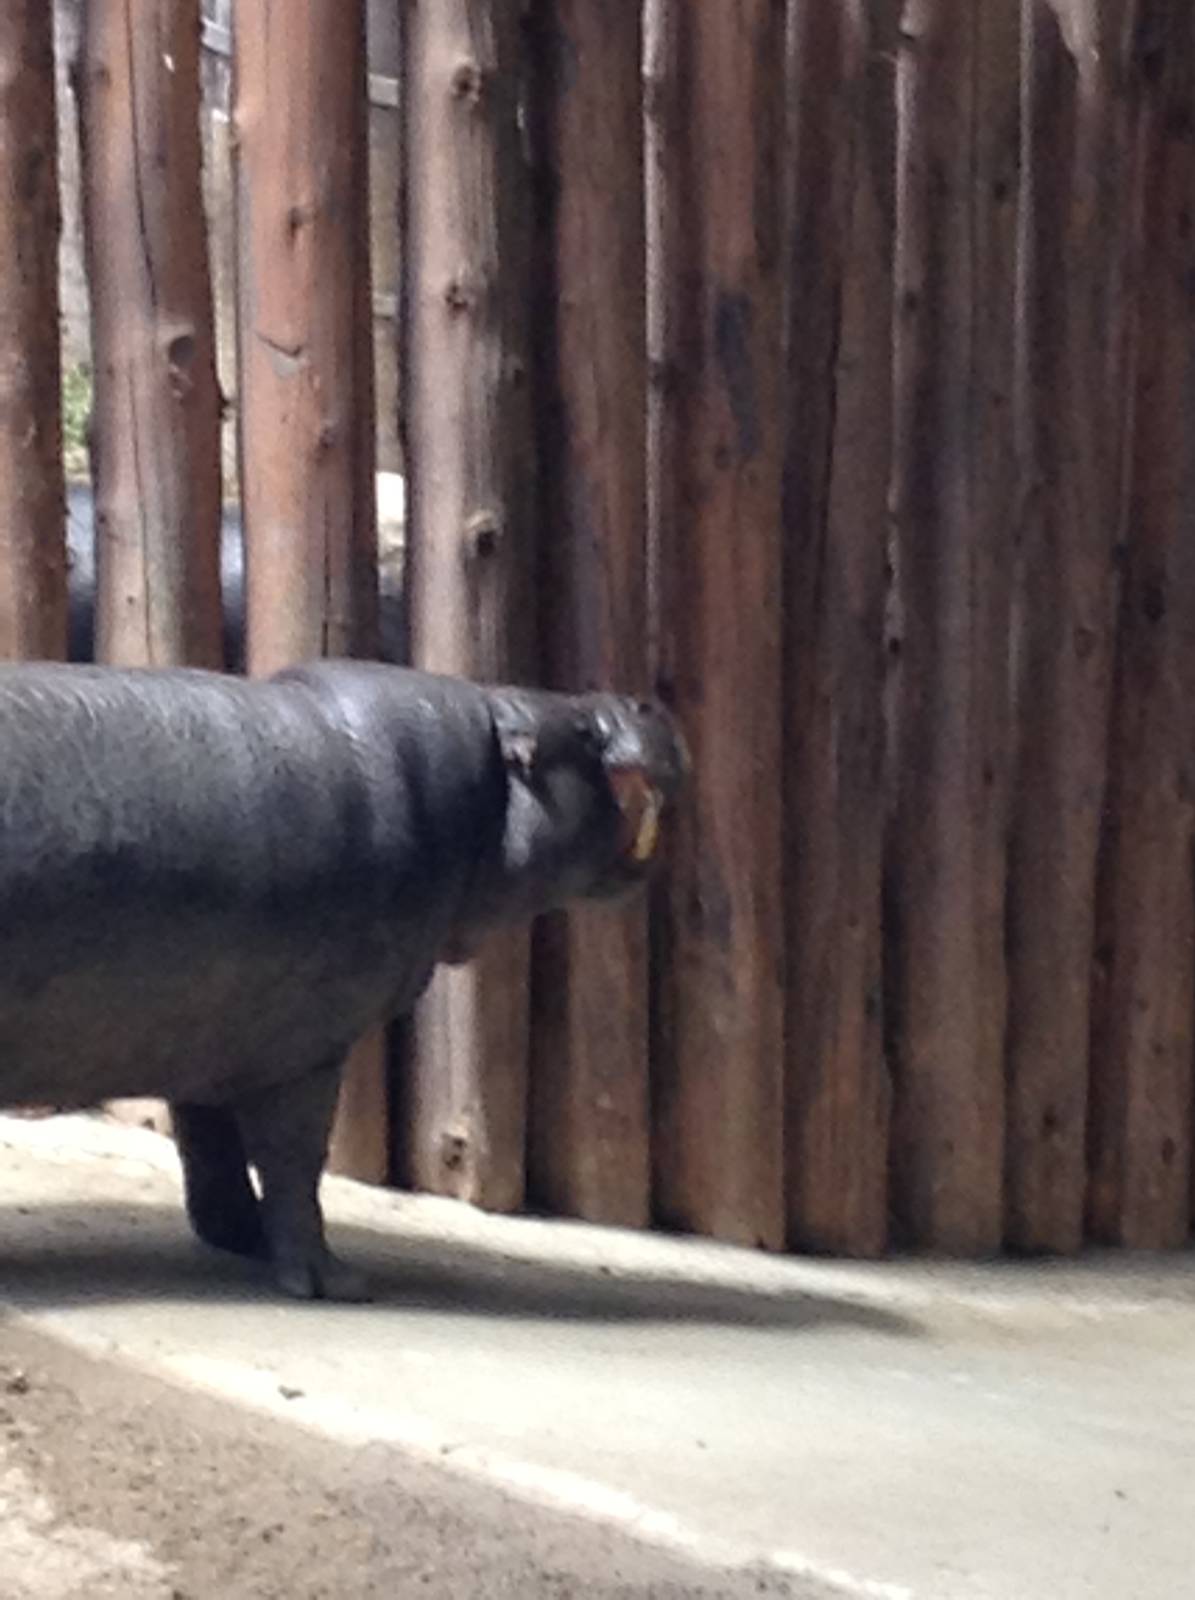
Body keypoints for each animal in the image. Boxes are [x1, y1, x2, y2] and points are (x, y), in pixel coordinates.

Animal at [0, 660, 685, 1299]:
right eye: (579, 732)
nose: (647, 701)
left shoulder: (203, 1031)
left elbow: (210, 1145)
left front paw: (241, 1239)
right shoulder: (304, 1050)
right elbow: (295, 1160)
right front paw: (337, 1285)